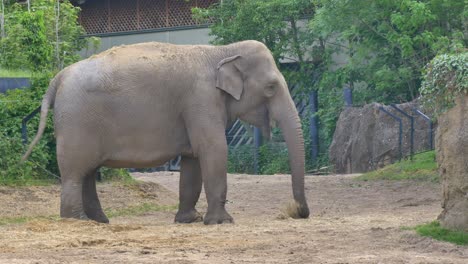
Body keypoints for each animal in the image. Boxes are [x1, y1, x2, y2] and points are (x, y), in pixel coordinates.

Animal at [21, 40, 310, 225]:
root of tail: (58, 77)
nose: (299, 212)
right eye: (271, 87)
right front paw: (222, 222)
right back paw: (78, 220)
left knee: (87, 172)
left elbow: (193, 160)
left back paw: (100, 221)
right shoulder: (200, 100)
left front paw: (189, 220)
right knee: (76, 172)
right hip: (77, 123)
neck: (223, 51)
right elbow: (214, 150)